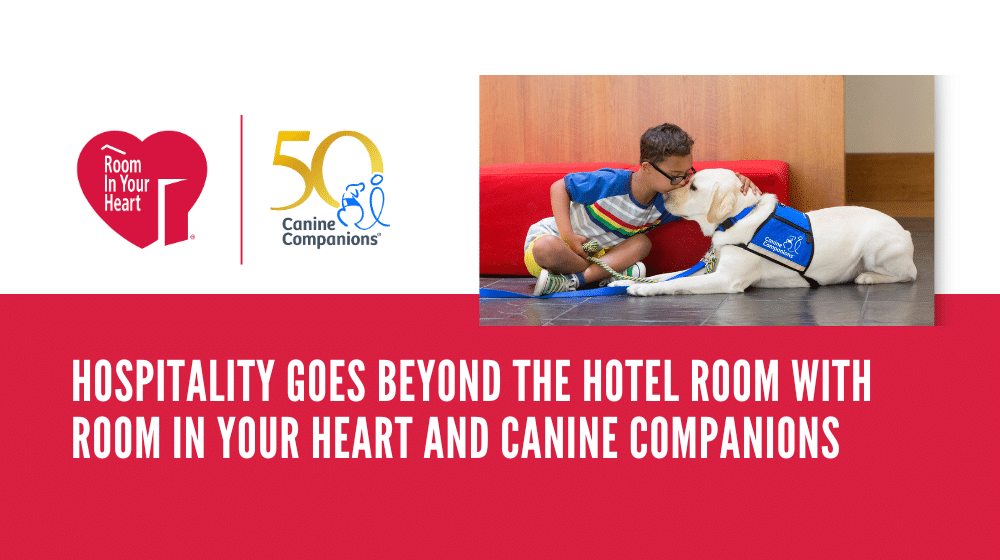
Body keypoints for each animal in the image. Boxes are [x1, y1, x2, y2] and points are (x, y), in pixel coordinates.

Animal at [616, 168, 920, 296]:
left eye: (693, 187)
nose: (664, 197)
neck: (737, 218)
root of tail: (905, 231)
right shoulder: (710, 268)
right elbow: (666, 275)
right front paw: (623, 282)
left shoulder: (726, 279)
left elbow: (674, 282)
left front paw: (640, 289)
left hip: (876, 246)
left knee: (908, 274)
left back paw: (868, 277)